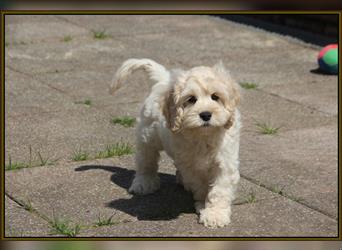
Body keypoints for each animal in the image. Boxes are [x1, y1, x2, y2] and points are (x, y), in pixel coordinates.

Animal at [109, 59, 240, 229]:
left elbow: (219, 190)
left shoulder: (225, 162)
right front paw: (203, 203)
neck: (203, 135)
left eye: (215, 97)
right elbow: (200, 185)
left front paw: (215, 214)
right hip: (147, 135)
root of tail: (164, 80)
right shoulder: (191, 166)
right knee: (146, 161)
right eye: (191, 99)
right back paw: (143, 183)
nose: (205, 115)